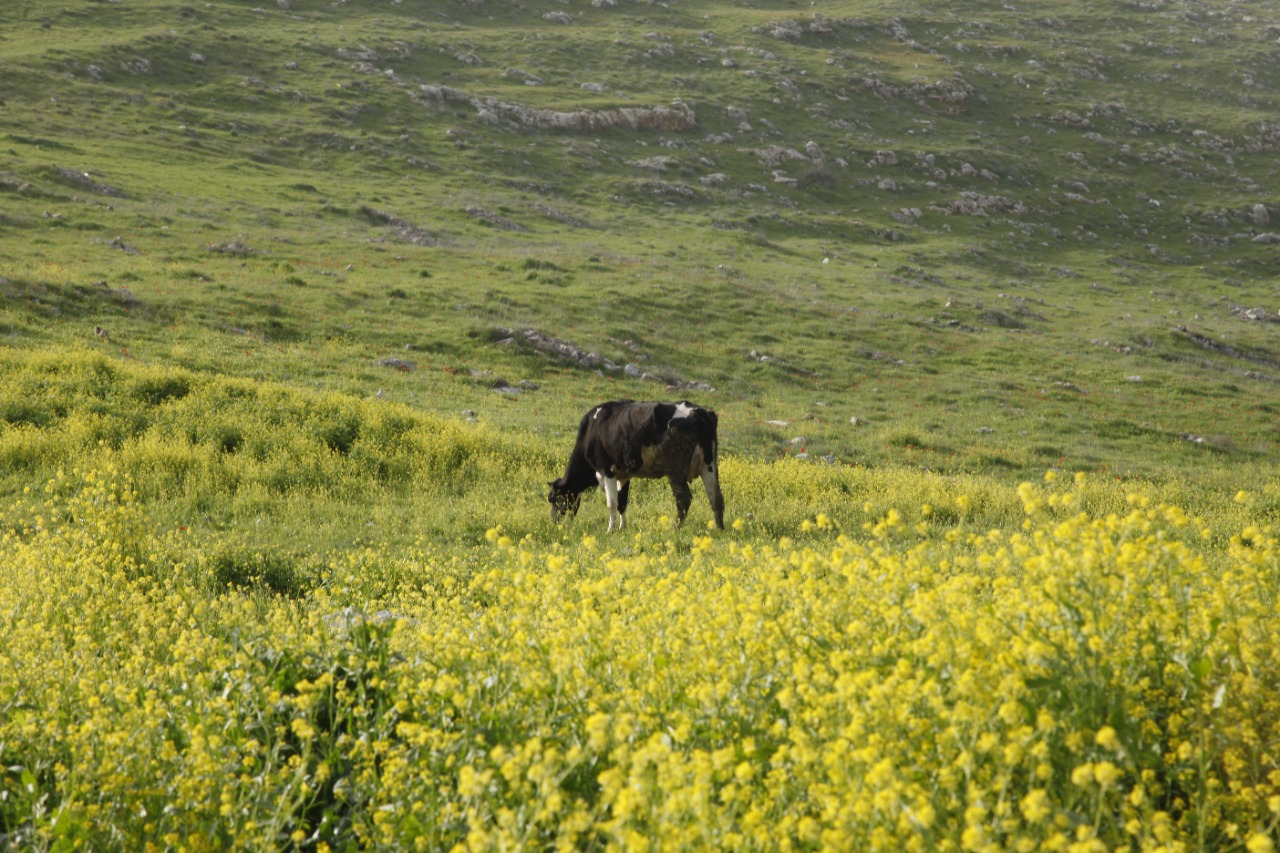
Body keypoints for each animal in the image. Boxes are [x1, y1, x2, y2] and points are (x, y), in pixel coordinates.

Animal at [547, 399, 727, 532]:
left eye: (555, 499)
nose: (554, 522)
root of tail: (699, 411)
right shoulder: (623, 475)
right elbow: (622, 502)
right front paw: (622, 528)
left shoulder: (606, 470)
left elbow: (611, 503)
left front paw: (610, 530)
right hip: (709, 465)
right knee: (715, 498)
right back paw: (720, 529)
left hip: (676, 470)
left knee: (684, 499)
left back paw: (675, 528)